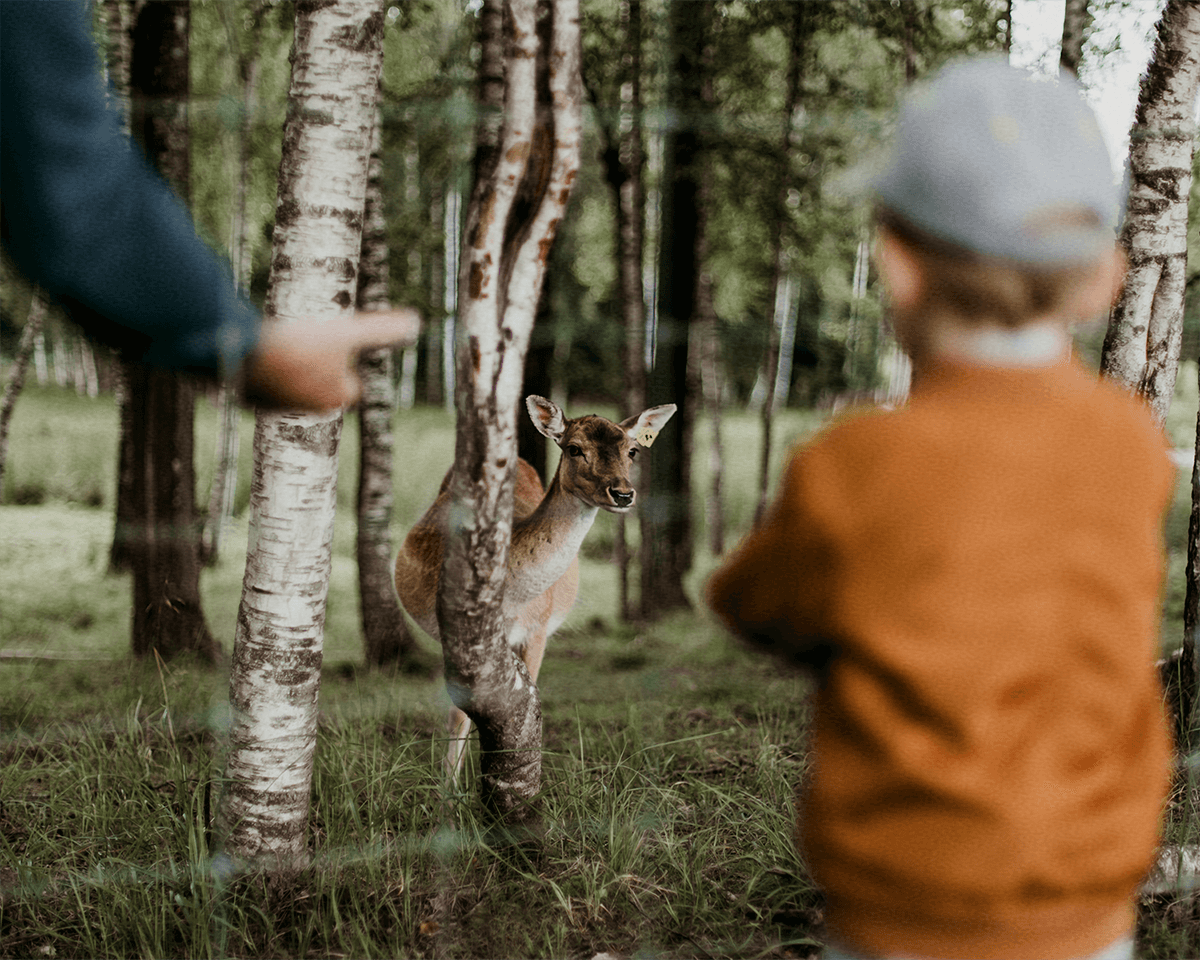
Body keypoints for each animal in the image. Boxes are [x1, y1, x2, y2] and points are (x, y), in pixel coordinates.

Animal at [394, 395, 676, 783]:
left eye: (632, 450)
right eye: (574, 448)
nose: (622, 493)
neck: (515, 597)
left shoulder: (538, 629)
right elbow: (459, 714)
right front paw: (449, 789)